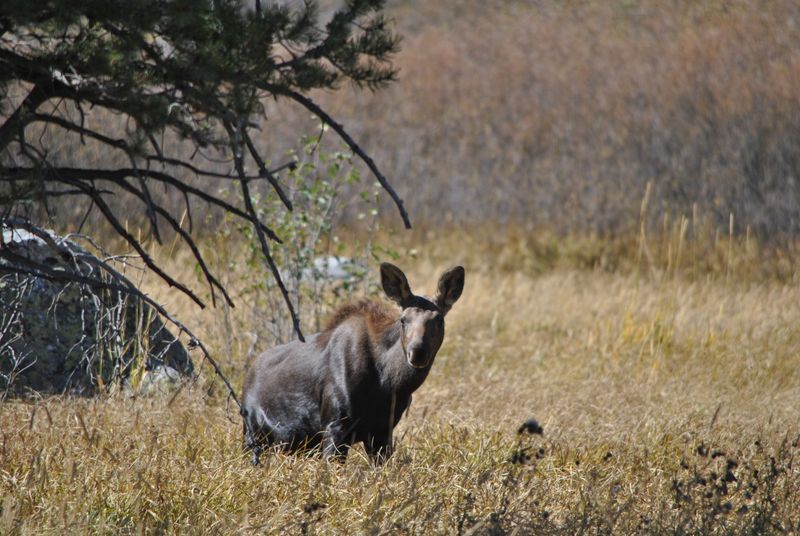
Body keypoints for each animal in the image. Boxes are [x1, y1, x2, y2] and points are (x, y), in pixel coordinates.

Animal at [241, 262, 465, 464]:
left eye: (439, 320)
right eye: (403, 319)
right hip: (252, 435)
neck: (388, 384)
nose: (418, 352)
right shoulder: (335, 425)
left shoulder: (382, 431)